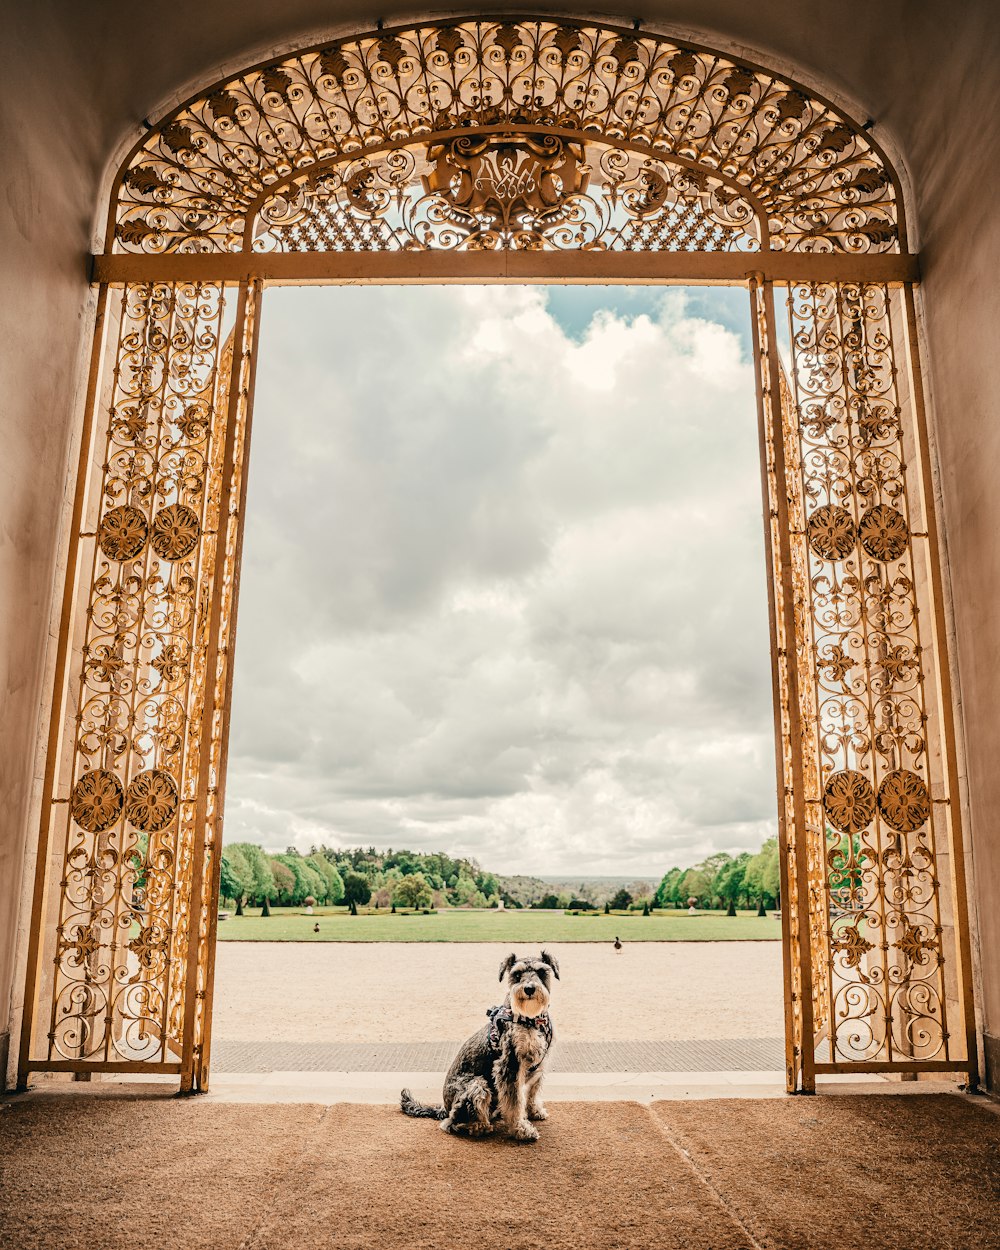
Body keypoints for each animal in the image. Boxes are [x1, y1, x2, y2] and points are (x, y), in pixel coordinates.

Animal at [400, 945, 557, 1145]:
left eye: (542, 971)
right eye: (517, 974)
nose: (529, 988)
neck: (532, 1019)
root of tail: (444, 1107)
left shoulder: (539, 1063)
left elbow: (532, 1091)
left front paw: (534, 1111)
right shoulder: (509, 1065)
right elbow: (514, 1103)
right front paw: (521, 1130)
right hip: (477, 1084)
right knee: (451, 1123)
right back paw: (479, 1126)